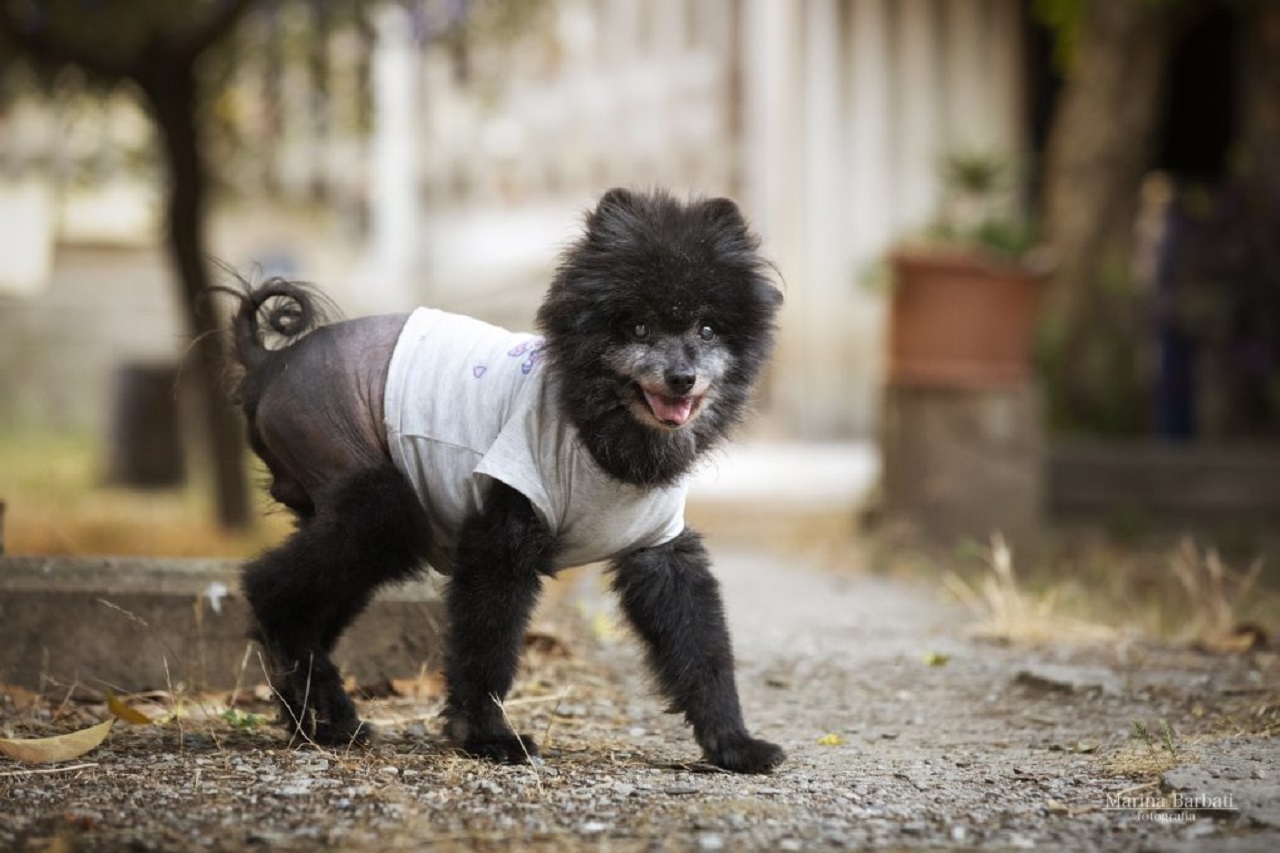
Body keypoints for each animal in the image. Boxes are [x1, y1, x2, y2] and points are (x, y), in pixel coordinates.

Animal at [231, 185, 788, 768]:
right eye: (638, 326)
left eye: (707, 327)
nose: (683, 377)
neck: (593, 428)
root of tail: (268, 363)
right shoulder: (504, 533)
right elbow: (487, 644)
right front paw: (489, 736)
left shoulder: (660, 549)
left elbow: (701, 648)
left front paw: (733, 743)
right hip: (377, 502)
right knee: (271, 587)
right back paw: (322, 704)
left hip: (343, 524)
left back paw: (319, 721)